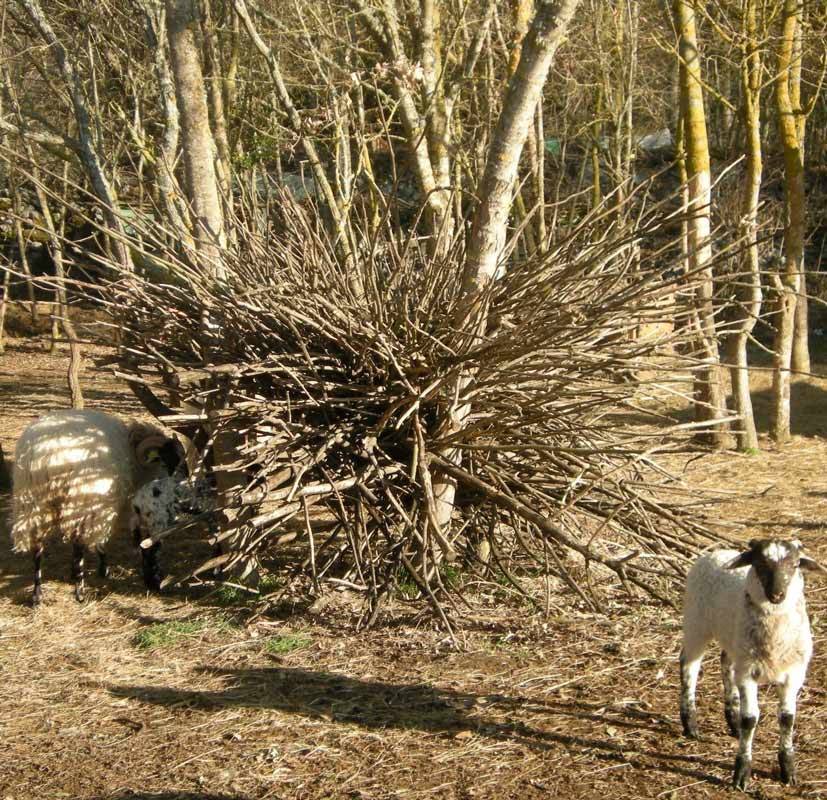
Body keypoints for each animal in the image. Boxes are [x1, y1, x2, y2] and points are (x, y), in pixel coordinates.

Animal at [11, 410, 183, 604]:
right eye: (166, 461)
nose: (174, 485)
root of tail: (47, 455)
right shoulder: (105, 503)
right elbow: (106, 539)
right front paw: (103, 570)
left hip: (32, 502)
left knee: (37, 546)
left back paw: (37, 595)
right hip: (81, 499)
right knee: (78, 543)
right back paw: (80, 591)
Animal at [680, 536, 820, 792]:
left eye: (795, 564)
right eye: (760, 564)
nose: (777, 594)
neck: (775, 638)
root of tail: (716, 552)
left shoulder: (794, 674)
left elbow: (787, 719)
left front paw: (788, 771)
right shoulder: (748, 674)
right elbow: (751, 719)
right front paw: (741, 774)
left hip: (734, 642)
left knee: (725, 663)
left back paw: (732, 720)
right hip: (696, 623)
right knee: (689, 666)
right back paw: (691, 724)